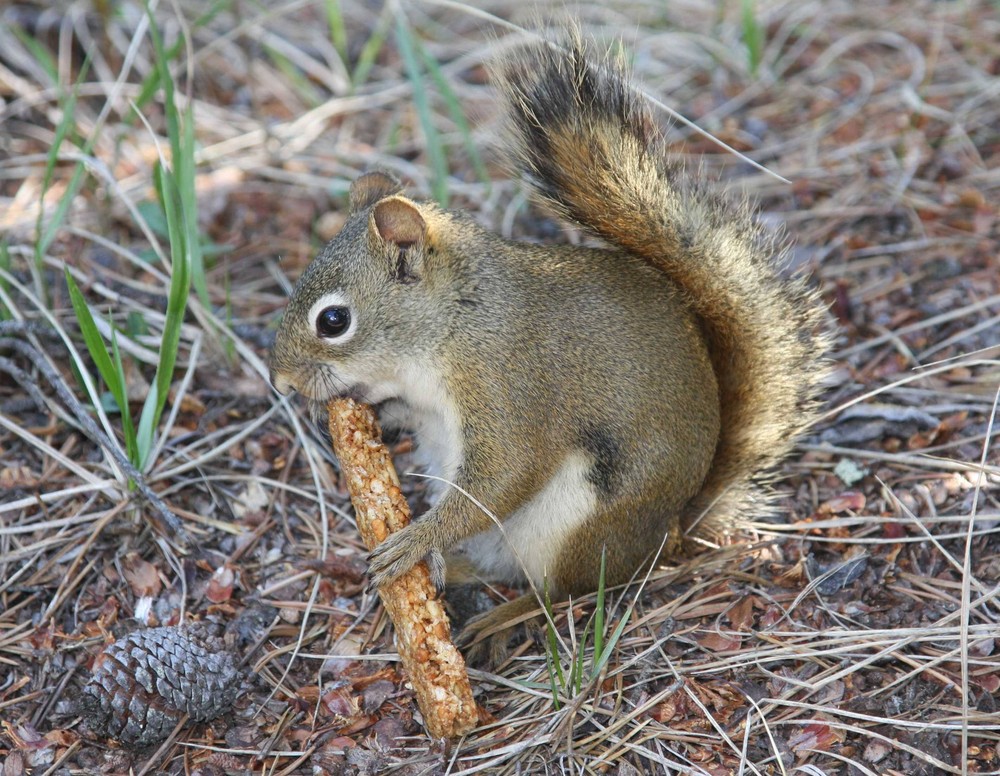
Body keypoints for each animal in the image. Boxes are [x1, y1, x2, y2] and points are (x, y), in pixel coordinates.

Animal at [270, 39, 832, 664]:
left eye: (334, 321)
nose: (281, 381)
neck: (454, 322)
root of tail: (672, 532)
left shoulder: (509, 384)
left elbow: (506, 475)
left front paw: (415, 539)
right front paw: (372, 416)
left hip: (580, 525)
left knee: (565, 591)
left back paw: (500, 613)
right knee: (504, 569)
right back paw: (455, 571)